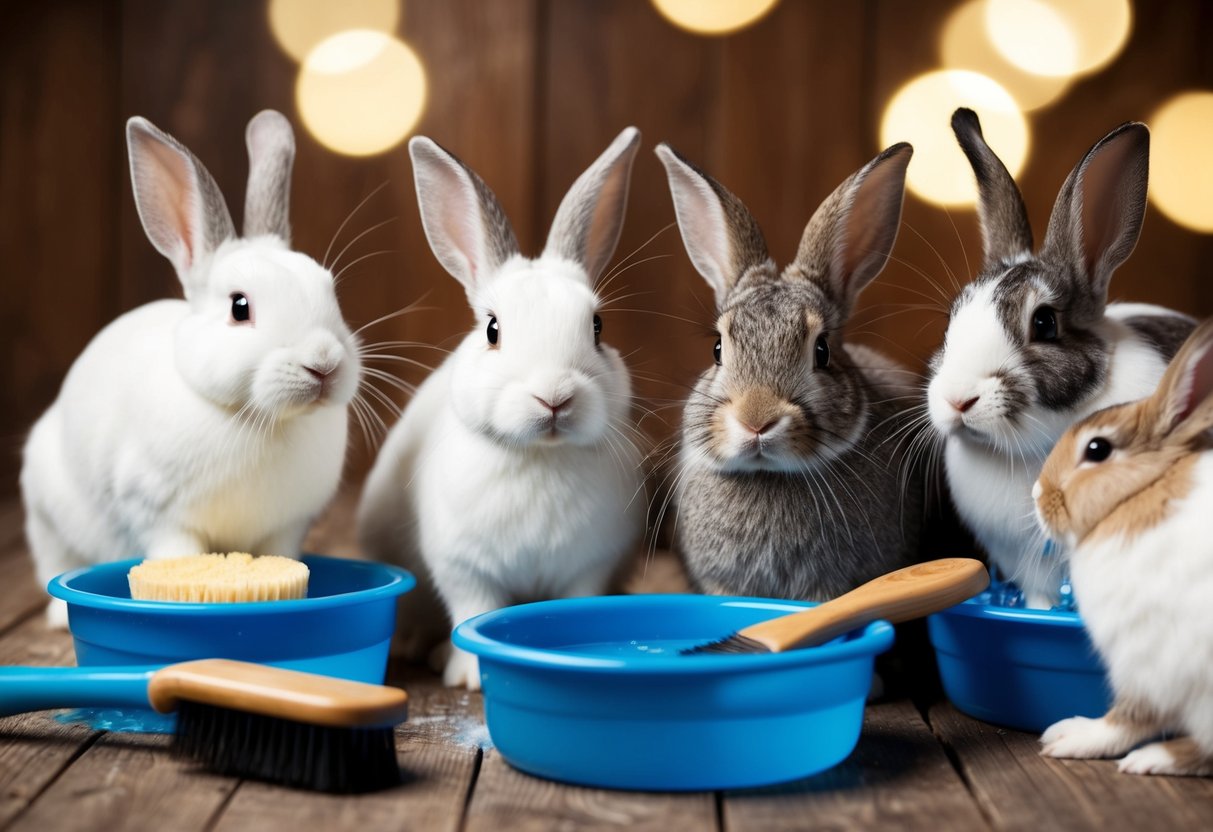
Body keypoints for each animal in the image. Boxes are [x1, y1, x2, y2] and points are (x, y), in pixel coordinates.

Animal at [20, 111, 361, 627]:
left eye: (331, 292)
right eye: (240, 307)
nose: (323, 363)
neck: (261, 420)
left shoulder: (287, 526)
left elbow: (285, 558)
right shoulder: (158, 513)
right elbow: (176, 553)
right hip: (47, 514)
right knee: (54, 563)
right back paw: (59, 616)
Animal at [357, 128, 646, 689]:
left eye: (597, 327)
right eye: (492, 329)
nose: (555, 396)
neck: (539, 458)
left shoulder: (590, 566)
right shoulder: (465, 567)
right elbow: (474, 613)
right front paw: (468, 677)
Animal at [1034, 318, 1213, 776]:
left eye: (1097, 449)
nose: (1037, 494)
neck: (1141, 493)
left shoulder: (1149, 661)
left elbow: (1128, 719)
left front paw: (1070, 737)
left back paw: (1150, 759)